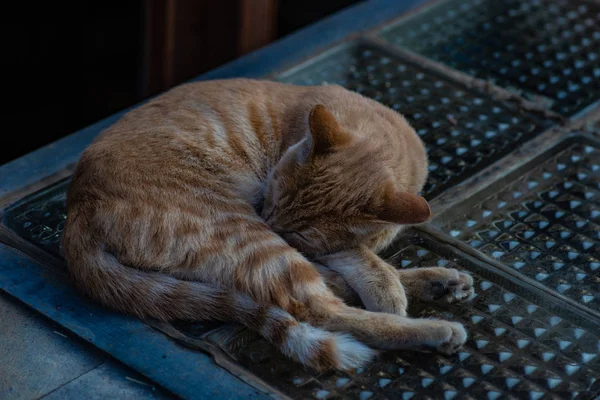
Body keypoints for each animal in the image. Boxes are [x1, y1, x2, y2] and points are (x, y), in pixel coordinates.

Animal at [62, 78, 474, 372]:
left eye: (289, 225)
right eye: (271, 196)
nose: (268, 220)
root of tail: (77, 210)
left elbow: (356, 254)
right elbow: (357, 256)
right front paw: (385, 287)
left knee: (318, 287)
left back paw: (440, 282)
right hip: (245, 235)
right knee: (318, 307)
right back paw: (433, 329)